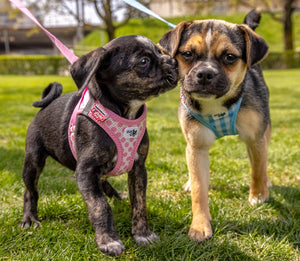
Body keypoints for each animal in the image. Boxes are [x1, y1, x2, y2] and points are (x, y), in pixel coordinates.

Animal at [19, 35, 178, 256]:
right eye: (143, 61)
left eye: (160, 51)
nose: (174, 62)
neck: (125, 114)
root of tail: (46, 105)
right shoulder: (86, 171)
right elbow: (100, 206)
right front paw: (108, 241)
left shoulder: (138, 168)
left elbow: (139, 203)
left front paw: (142, 234)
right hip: (34, 161)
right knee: (30, 190)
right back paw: (29, 218)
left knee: (103, 182)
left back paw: (116, 195)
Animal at [159, 10, 272, 242]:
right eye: (187, 54)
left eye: (229, 57)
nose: (205, 73)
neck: (217, 105)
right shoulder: (196, 146)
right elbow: (199, 190)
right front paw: (200, 225)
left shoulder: (255, 137)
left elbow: (257, 169)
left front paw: (258, 195)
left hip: (265, 130)